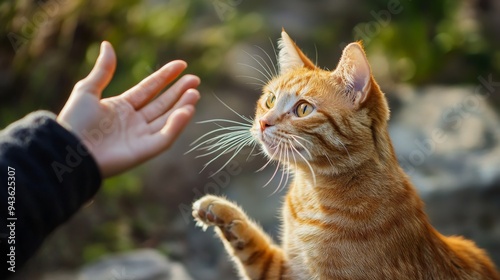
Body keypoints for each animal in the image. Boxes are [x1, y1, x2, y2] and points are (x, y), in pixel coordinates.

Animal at [191, 29, 500, 278]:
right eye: (269, 100)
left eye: (303, 109)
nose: (264, 122)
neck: (312, 194)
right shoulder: (287, 271)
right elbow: (256, 250)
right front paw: (221, 212)